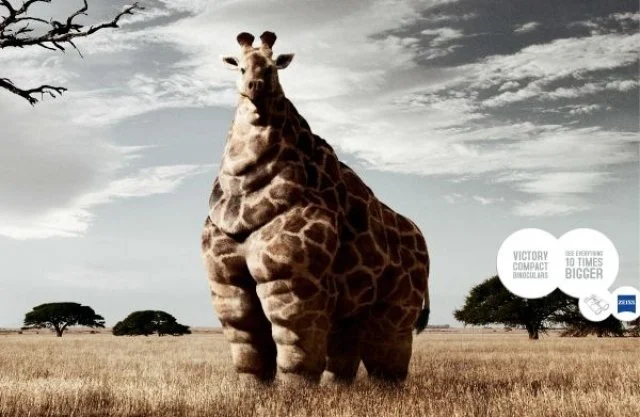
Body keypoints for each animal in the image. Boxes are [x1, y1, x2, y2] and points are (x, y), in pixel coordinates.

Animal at [201, 31, 430, 385]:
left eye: (273, 66)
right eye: (239, 67)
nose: (256, 86)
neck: (244, 192)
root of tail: (423, 242)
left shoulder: (292, 279)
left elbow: (294, 341)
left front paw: (294, 393)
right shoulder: (227, 282)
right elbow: (247, 342)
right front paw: (252, 390)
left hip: (399, 302)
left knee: (388, 349)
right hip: (354, 304)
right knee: (347, 346)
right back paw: (337, 389)